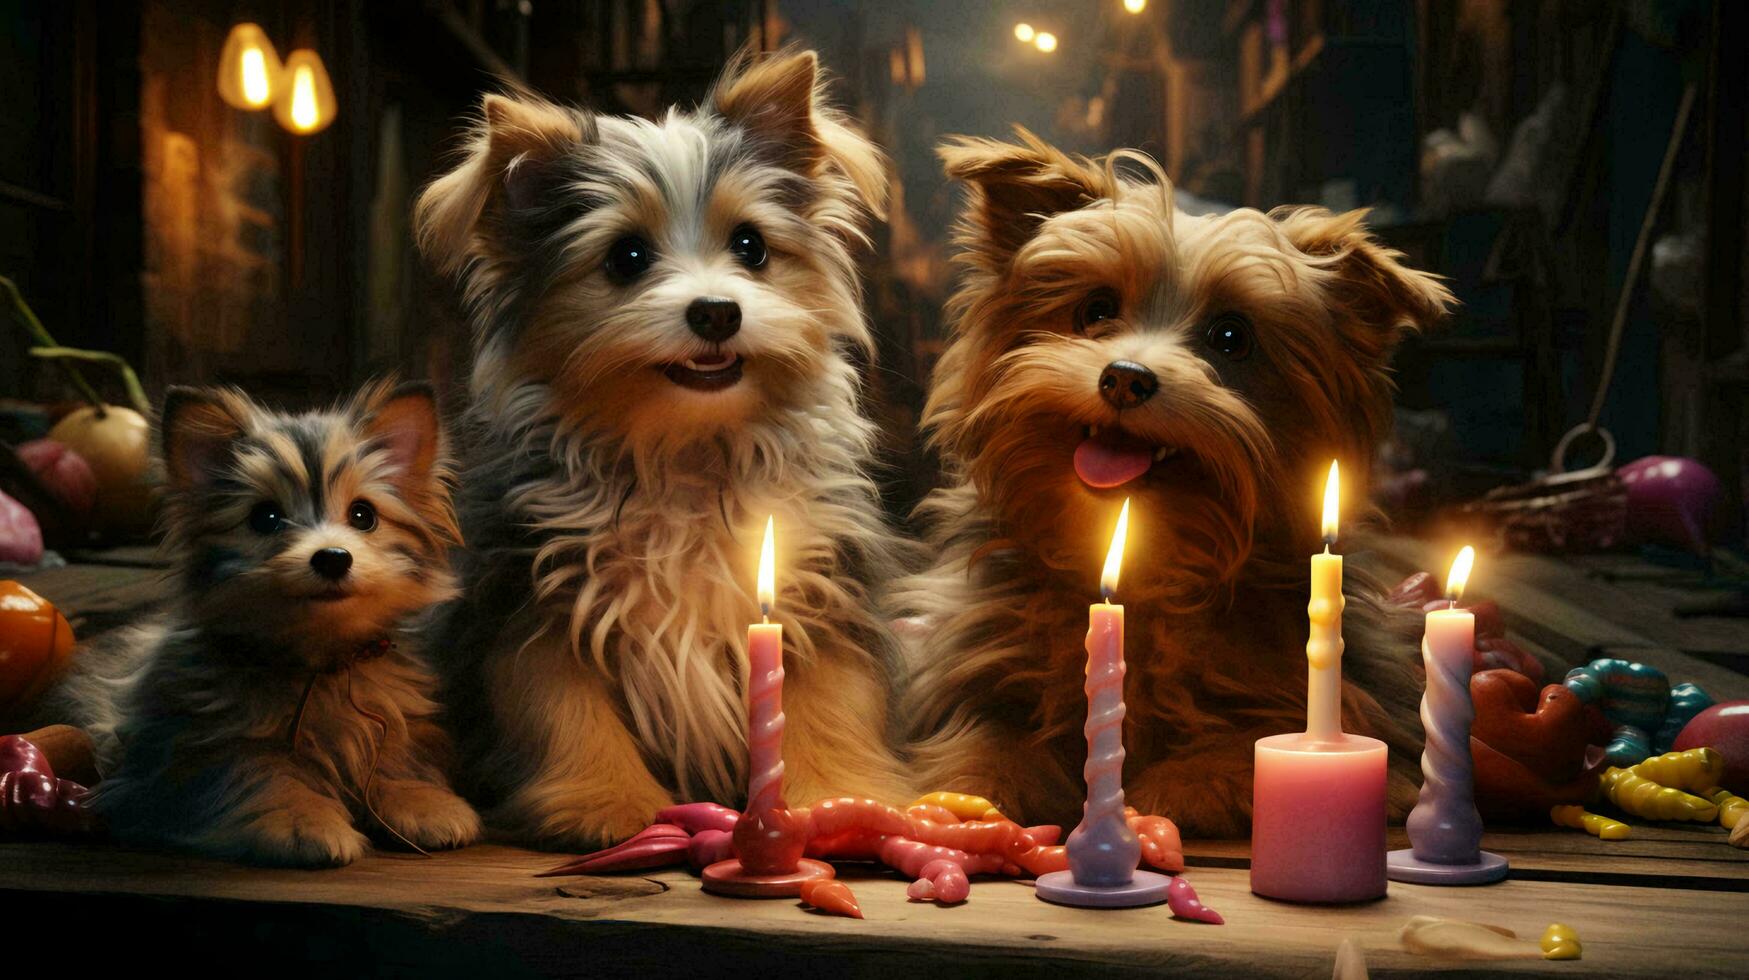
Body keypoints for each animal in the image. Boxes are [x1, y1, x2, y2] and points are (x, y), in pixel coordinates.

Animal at [48, 383, 479, 864]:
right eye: (266, 517)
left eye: (363, 515)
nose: (333, 557)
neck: (319, 662)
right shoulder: (177, 759)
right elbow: (253, 769)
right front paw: (299, 818)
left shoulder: (388, 708)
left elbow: (394, 749)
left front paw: (421, 799)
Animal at [416, 49, 916, 847]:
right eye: (625, 257)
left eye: (750, 245)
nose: (716, 312)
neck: (686, 449)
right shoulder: (531, 595)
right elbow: (558, 705)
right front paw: (604, 802)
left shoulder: (822, 586)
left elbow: (833, 697)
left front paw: (841, 793)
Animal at [895, 128, 1455, 833]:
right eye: (1096, 309)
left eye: (1231, 336)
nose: (1125, 377)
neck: (1147, 549)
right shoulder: (974, 661)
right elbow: (982, 735)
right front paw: (973, 791)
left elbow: (1254, 743)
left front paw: (1183, 783)